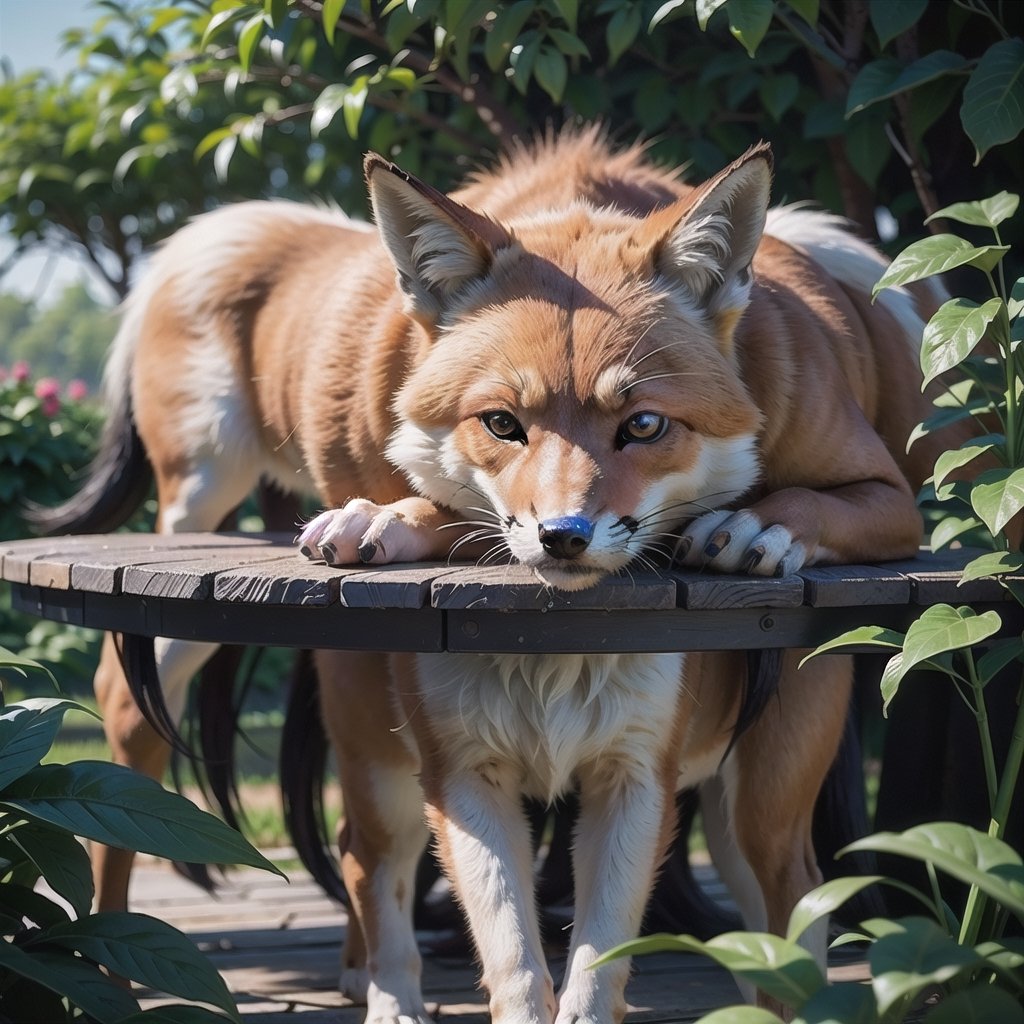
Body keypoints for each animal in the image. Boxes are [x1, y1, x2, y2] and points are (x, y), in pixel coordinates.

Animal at [44, 130, 946, 1024]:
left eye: (644, 425)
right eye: (503, 424)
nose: (564, 537)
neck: (555, 653)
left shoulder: (639, 773)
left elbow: (595, 971)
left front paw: (753, 526)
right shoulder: (463, 773)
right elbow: (514, 962)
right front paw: (389, 521)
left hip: (755, 811)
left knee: (788, 919)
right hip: (234, 557)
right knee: (322, 834)